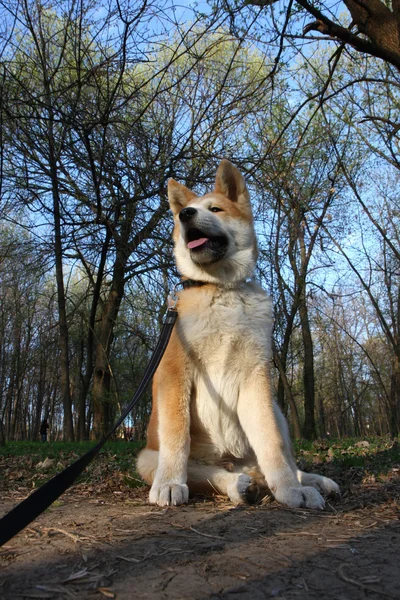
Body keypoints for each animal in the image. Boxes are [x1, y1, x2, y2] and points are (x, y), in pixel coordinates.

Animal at [136, 158, 340, 506]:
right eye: (184, 212)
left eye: (215, 209)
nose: (185, 214)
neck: (222, 289)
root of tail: (233, 461)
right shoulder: (175, 373)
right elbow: (177, 436)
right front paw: (170, 483)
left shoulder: (255, 376)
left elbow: (271, 443)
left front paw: (291, 489)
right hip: (147, 458)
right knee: (209, 475)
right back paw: (238, 485)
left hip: (277, 412)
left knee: (277, 458)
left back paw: (307, 481)